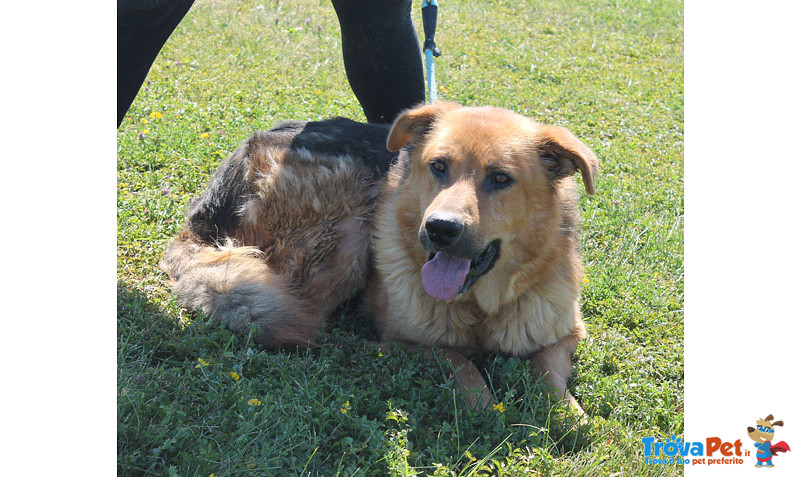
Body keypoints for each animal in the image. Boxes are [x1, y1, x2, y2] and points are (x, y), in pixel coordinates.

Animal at [159, 100, 596, 410]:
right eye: (438, 167)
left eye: (501, 179)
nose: (439, 229)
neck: (480, 307)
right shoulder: (406, 340)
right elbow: (460, 362)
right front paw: (485, 405)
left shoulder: (567, 331)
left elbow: (548, 374)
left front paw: (568, 414)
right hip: (348, 232)